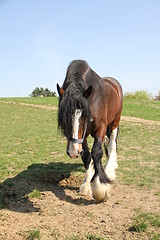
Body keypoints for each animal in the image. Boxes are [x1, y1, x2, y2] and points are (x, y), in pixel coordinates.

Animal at [57, 60, 123, 202]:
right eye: (64, 116)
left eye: (83, 115)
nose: (72, 152)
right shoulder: (83, 136)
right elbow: (87, 156)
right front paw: (86, 185)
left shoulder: (101, 128)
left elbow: (97, 153)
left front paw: (100, 187)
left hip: (114, 122)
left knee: (112, 144)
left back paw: (110, 170)